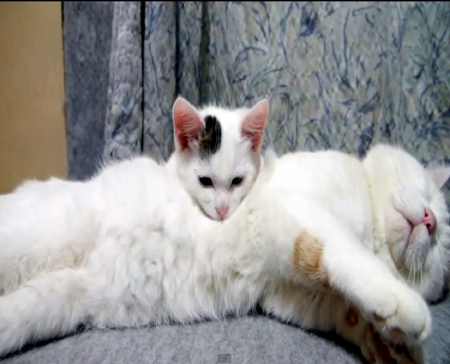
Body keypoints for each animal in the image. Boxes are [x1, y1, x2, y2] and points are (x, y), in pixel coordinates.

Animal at [0, 144, 444, 362]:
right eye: (432, 194)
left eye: (442, 247)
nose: (431, 221)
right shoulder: (299, 210)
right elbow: (343, 254)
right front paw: (404, 307)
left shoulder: (289, 295)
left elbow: (344, 307)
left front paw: (393, 345)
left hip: (49, 303)